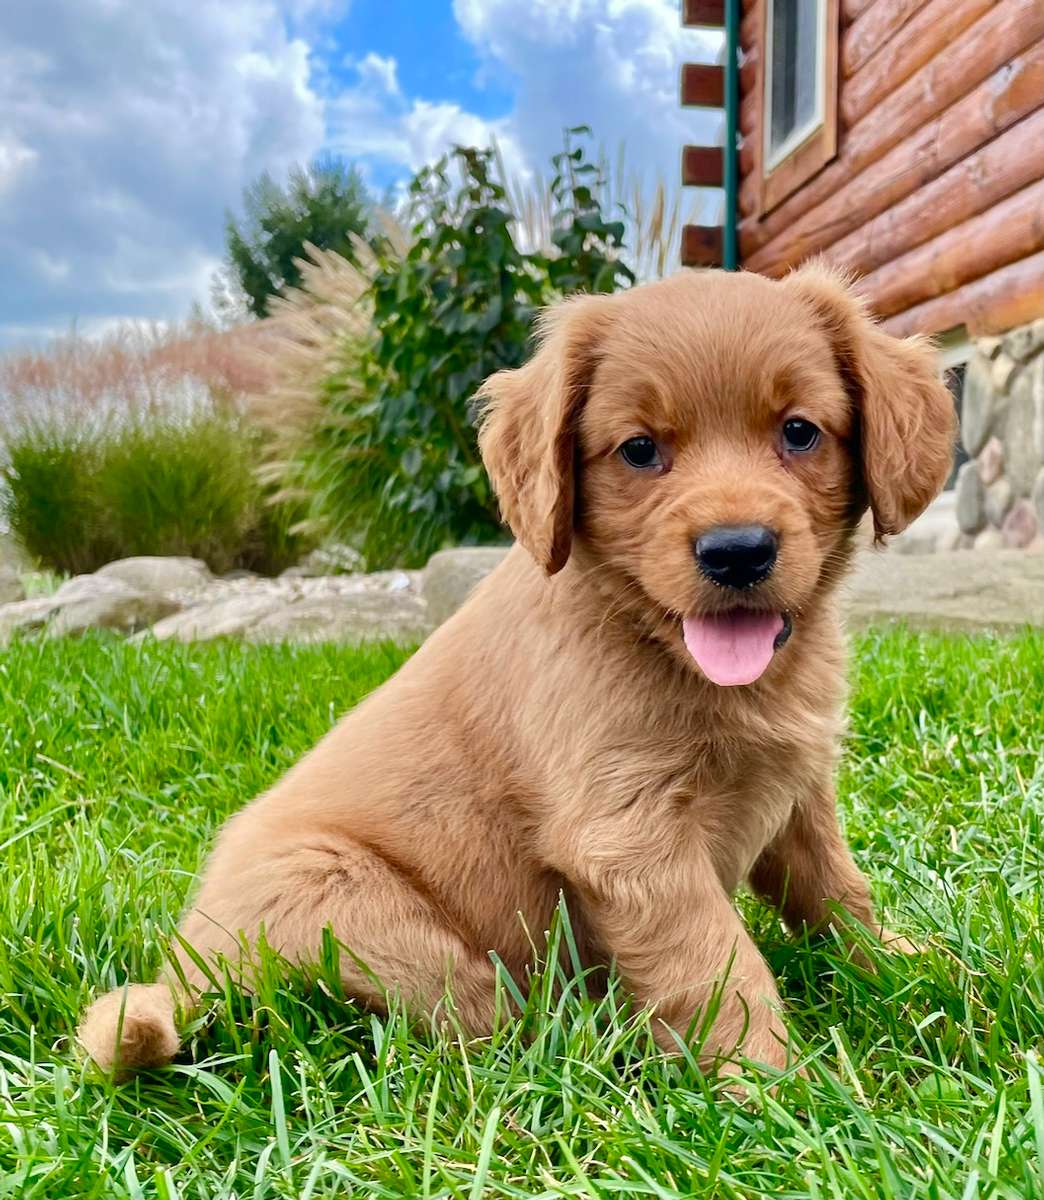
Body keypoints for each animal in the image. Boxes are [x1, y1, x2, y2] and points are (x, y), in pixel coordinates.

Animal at [77, 267, 955, 1084]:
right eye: (640, 449)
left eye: (800, 433)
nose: (737, 551)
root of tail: (182, 965)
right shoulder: (628, 834)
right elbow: (716, 964)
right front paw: (773, 1090)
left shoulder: (798, 796)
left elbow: (837, 892)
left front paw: (913, 971)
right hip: (351, 902)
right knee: (485, 1030)